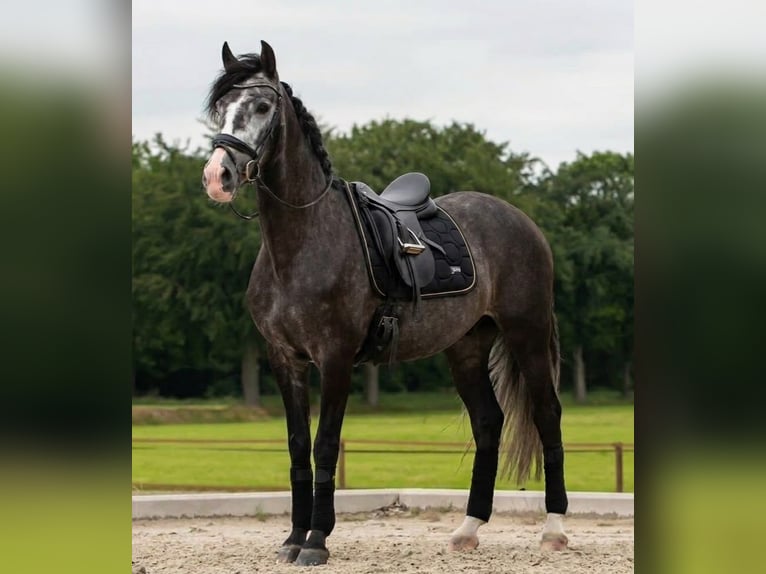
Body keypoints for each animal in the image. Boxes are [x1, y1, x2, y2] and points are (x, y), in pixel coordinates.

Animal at [202, 40, 569, 566]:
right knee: (488, 423)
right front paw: (292, 539)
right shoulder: (284, 359)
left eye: (262, 106)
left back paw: (554, 529)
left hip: (528, 335)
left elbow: (325, 445)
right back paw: (468, 529)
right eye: (221, 107)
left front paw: (316, 541)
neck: (303, 242)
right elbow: (296, 446)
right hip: (467, 347)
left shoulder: (335, 358)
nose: (219, 175)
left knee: (547, 415)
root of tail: (520, 220)